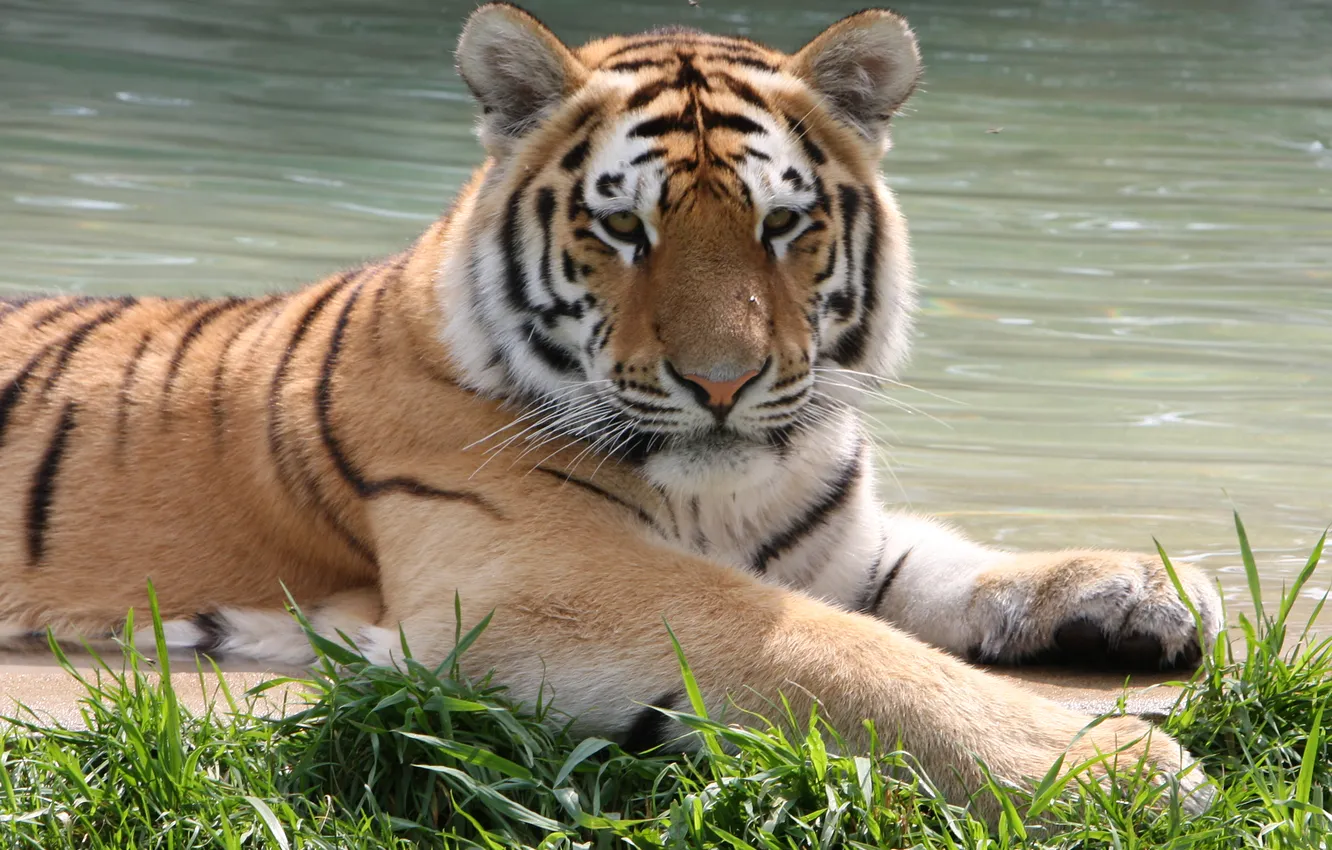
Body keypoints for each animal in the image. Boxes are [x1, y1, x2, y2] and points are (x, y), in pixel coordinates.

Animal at [0, 3, 1223, 819]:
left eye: (783, 225)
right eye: (624, 227)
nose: (723, 382)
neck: (731, 496)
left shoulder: (829, 538)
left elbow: (950, 566)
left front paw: (1142, 588)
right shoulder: (538, 578)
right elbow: (847, 653)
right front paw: (1117, 769)